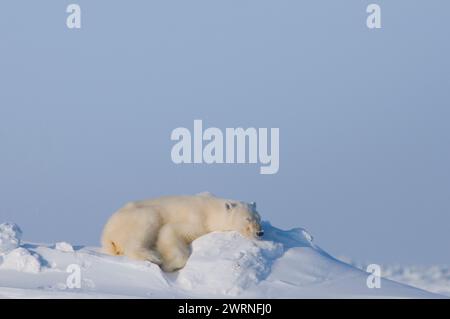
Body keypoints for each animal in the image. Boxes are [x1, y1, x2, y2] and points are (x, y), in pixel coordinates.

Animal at [101, 192, 264, 272]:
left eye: (258, 217)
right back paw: (152, 257)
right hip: (135, 217)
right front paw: (168, 264)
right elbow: (171, 230)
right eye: (247, 219)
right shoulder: (198, 219)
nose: (260, 233)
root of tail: (106, 235)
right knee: (147, 223)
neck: (211, 209)